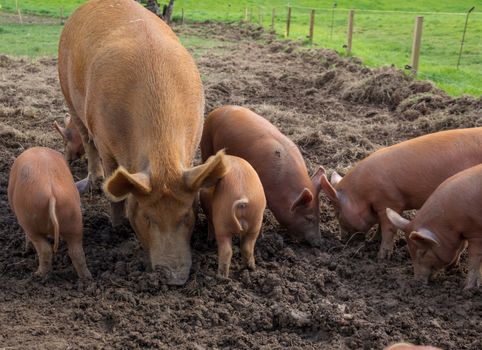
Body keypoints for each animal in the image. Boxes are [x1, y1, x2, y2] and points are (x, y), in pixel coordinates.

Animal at [8, 146, 91, 280]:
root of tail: (51, 194)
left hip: (30, 223)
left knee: (45, 250)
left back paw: (37, 275)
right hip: (74, 220)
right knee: (76, 251)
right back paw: (87, 278)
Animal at [59, 0, 227, 284]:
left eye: (187, 215)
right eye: (148, 217)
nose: (174, 277)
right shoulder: (106, 141)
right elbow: (113, 183)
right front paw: (117, 228)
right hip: (68, 94)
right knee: (87, 140)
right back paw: (91, 184)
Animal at [200, 106, 324, 246]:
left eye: (319, 215)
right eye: (309, 218)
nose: (320, 243)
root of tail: (217, 110)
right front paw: (261, 238)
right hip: (206, 143)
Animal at [320, 127, 482, 258]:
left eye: (337, 213)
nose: (342, 240)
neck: (362, 193)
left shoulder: (390, 200)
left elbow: (388, 228)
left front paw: (381, 257)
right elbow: (380, 225)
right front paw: (373, 240)